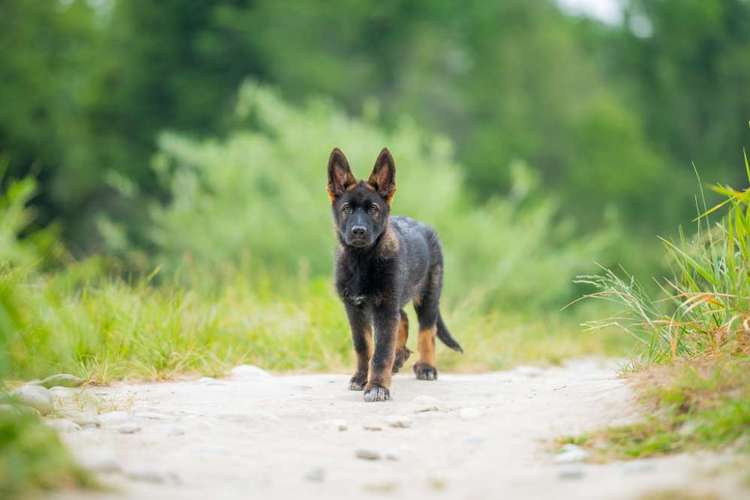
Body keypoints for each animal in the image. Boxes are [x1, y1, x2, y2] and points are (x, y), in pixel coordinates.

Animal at [328, 147, 464, 402]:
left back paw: (426, 366)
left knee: (427, 330)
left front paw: (377, 386)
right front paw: (361, 378)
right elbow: (364, 347)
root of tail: (426, 227)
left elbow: (381, 351)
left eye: (373, 209)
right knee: (403, 318)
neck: (362, 259)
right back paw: (400, 356)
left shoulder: (384, 307)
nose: (358, 231)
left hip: (427, 296)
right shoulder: (355, 309)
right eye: (346, 209)